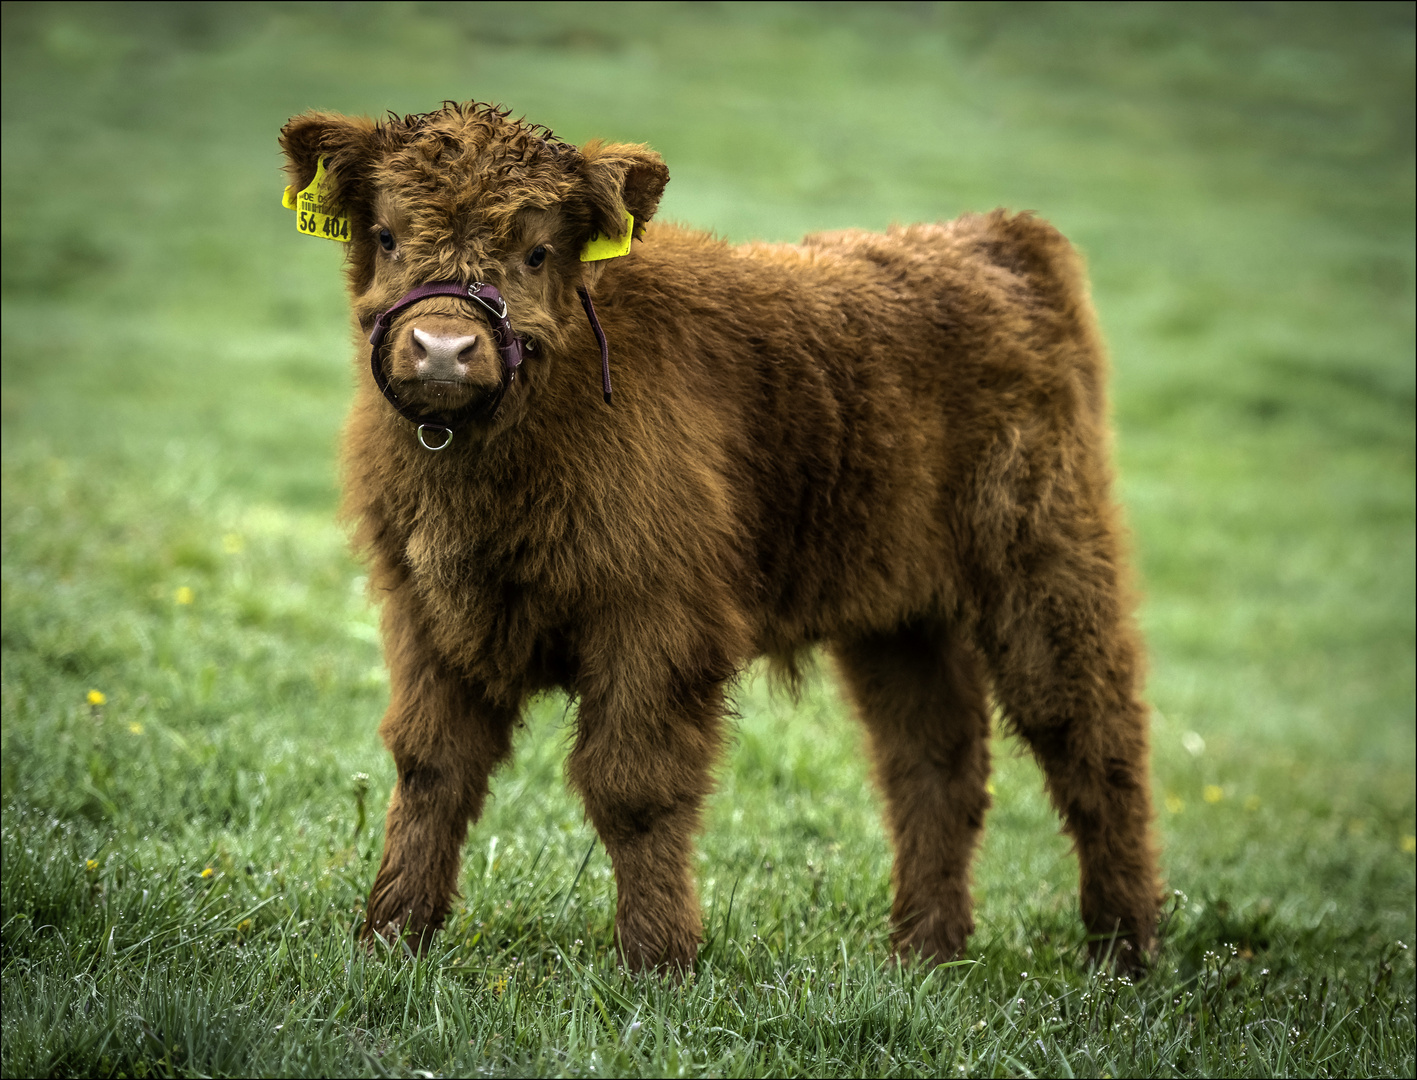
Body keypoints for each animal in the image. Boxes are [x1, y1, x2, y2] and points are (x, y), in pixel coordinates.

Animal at [279, 102, 1161, 969]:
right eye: (387, 234)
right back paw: (923, 951)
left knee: (1092, 738)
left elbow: (633, 787)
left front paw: (657, 959)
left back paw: (1121, 948)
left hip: (1045, 565)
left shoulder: (658, 622)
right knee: (932, 761)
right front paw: (391, 938)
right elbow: (431, 767)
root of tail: (986, 234)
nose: (443, 349)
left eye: (536, 250)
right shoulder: (427, 614)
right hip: (900, 611)